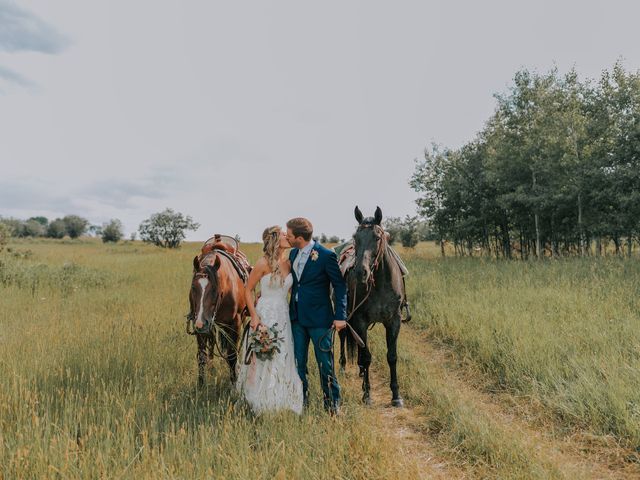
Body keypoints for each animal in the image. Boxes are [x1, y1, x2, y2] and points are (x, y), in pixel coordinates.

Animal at [188, 251, 248, 386]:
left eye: (215, 289)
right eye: (193, 287)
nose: (201, 323)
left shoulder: (235, 324)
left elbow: (232, 355)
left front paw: (234, 383)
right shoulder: (199, 325)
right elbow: (202, 356)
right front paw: (201, 385)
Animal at [340, 204, 404, 406]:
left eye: (377, 237)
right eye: (356, 238)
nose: (361, 272)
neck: (380, 283)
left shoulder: (394, 321)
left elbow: (392, 356)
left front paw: (396, 395)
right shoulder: (360, 320)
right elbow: (367, 356)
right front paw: (367, 394)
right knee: (344, 338)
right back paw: (343, 366)